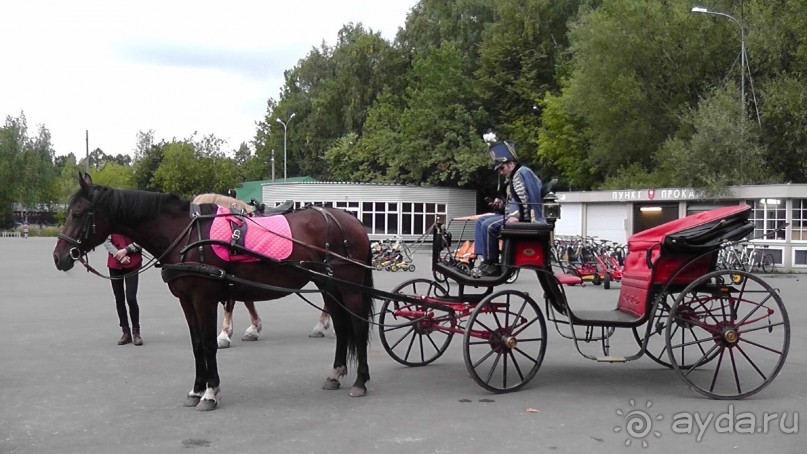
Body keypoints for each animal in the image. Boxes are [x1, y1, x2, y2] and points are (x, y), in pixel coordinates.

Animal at [53, 175, 376, 412]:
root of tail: (352, 220)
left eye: (78, 213)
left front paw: (211, 392)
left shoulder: (203, 299)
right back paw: (335, 373)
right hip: (328, 286)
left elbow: (209, 343)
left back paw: (361, 381)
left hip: (348, 285)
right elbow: (197, 344)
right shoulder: (187, 301)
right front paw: (197, 389)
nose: (59, 257)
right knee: (342, 326)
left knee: (358, 327)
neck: (184, 234)